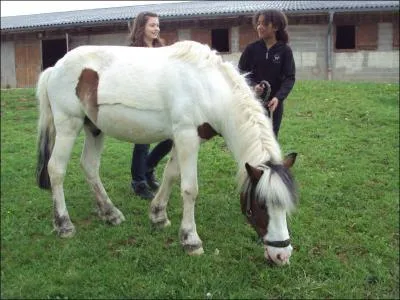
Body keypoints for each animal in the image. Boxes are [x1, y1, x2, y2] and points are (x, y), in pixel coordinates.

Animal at [36, 39, 296, 264]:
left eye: (285, 204)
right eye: (261, 205)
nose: (282, 255)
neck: (207, 86)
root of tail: (55, 68)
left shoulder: (186, 138)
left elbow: (171, 175)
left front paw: (158, 216)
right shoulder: (186, 136)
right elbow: (190, 189)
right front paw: (191, 240)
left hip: (94, 129)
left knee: (89, 166)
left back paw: (110, 213)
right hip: (68, 125)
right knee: (56, 170)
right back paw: (64, 224)